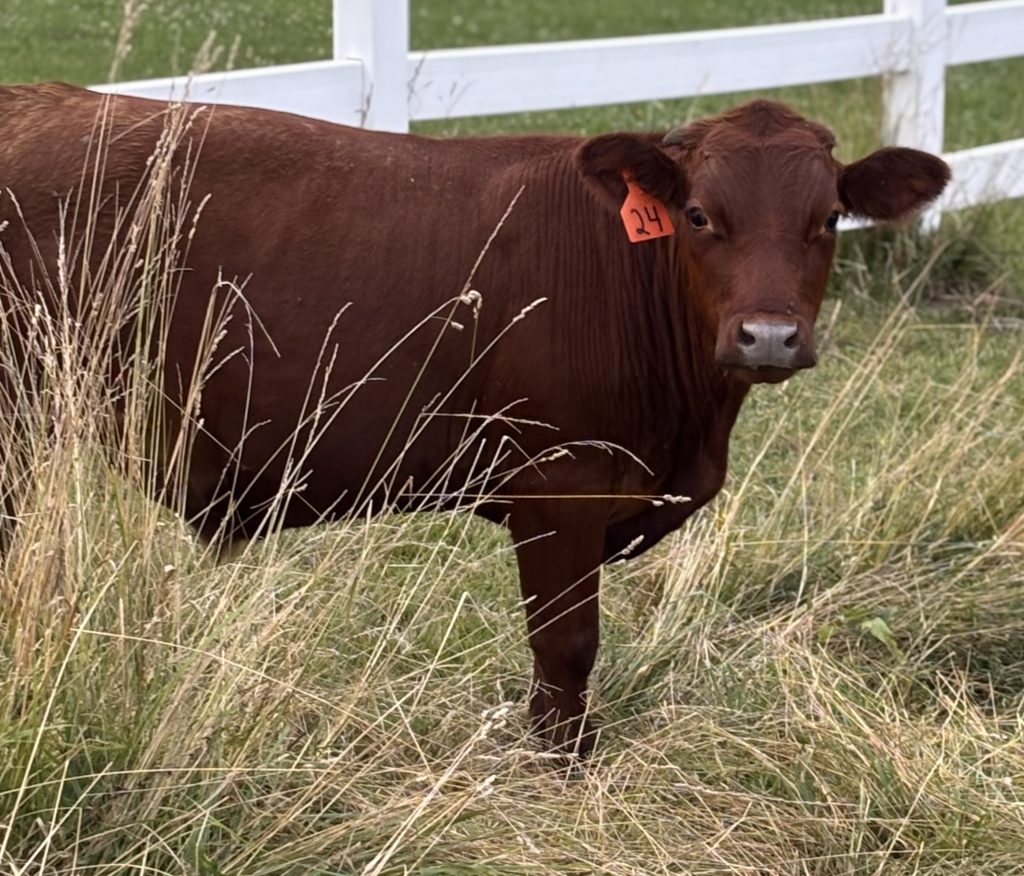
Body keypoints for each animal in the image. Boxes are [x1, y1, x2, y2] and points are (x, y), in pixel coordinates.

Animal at [0, 83, 948, 755]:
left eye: (829, 218)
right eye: (698, 214)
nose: (769, 336)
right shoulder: (560, 482)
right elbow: (566, 645)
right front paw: (563, 766)